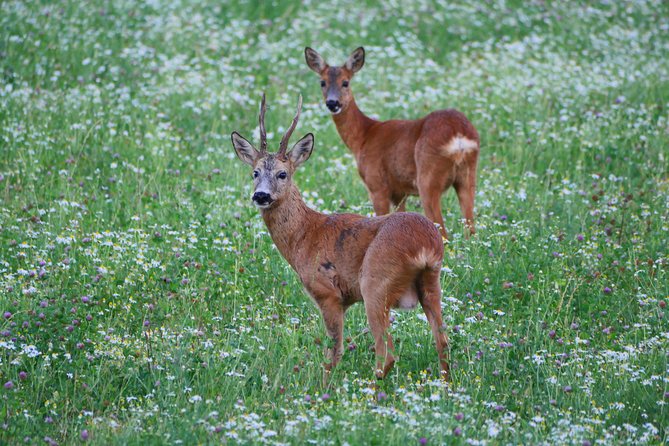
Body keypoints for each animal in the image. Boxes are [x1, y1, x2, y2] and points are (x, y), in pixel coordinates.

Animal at [230, 93, 448, 380]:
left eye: (282, 173)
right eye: (254, 172)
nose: (261, 195)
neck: (305, 234)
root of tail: (425, 245)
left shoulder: (328, 293)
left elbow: (333, 353)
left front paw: (324, 386)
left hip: (375, 282)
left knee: (387, 352)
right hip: (432, 282)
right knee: (443, 343)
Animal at [302, 46, 480, 240]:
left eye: (345, 82)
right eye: (322, 82)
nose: (332, 103)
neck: (364, 136)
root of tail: (458, 135)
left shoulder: (377, 184)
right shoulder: (399, 192)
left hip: (428, 176)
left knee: (443, 231)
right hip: (468, 176)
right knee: (471, 230)